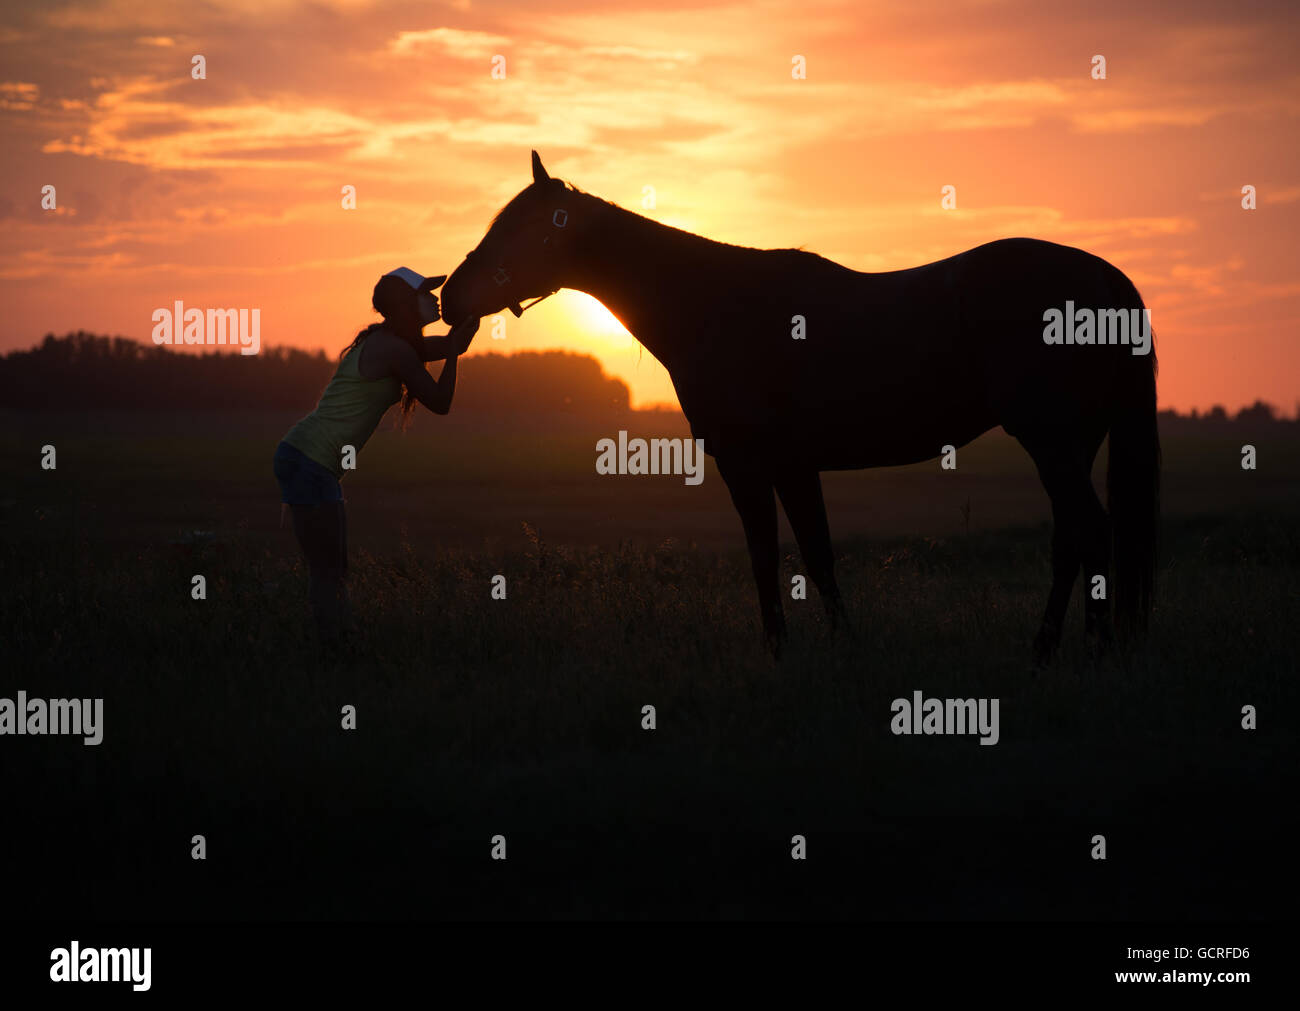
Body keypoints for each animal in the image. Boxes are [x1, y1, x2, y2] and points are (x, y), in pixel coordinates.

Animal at [441, 151, 1160, 663]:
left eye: (516, 231)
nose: (450, 296)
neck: (717, 308)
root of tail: (1105, 278)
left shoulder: (750, 465)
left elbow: (769, 554)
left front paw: (779, 652)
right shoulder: (793, 467)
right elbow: (817, 554)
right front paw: (845, 649)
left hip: (1052, 440)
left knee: (1090, 532)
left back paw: (1086, 652)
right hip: (1068, 444)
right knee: (1073, 538)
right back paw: (1048, 650)